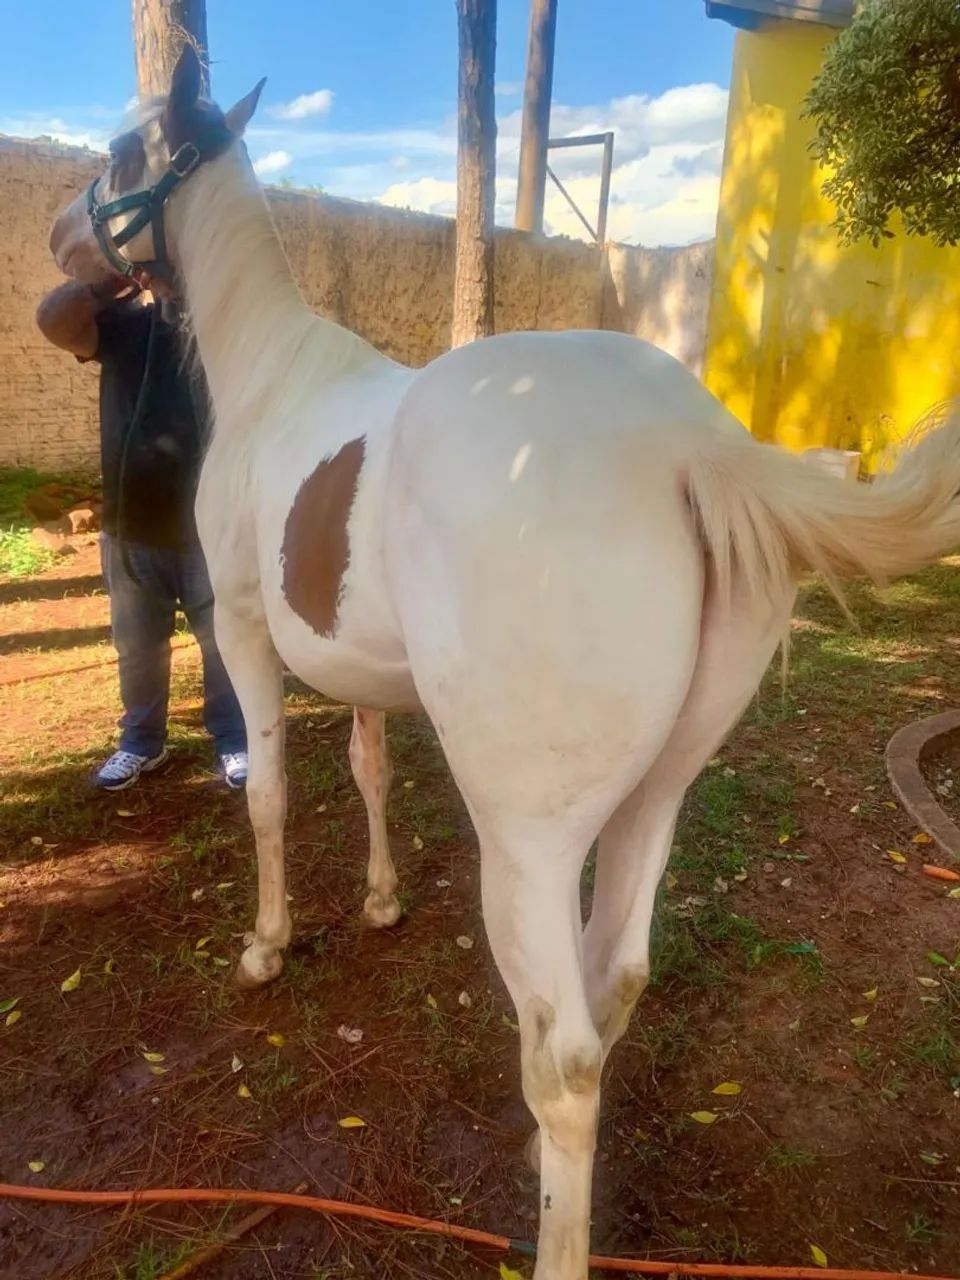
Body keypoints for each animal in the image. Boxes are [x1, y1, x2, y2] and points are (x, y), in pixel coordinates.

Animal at [49, 45, 960, 1280]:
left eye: (116, 152)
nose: (62, 238)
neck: (274, 376)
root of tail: (692, 449)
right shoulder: (367, 675)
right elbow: (371, 772)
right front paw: (381, 900)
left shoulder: (240, 633)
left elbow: (273, 797)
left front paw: (267, 946)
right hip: (654, 796)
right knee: (614, 978)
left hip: (526, 843)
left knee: (565, 1053)